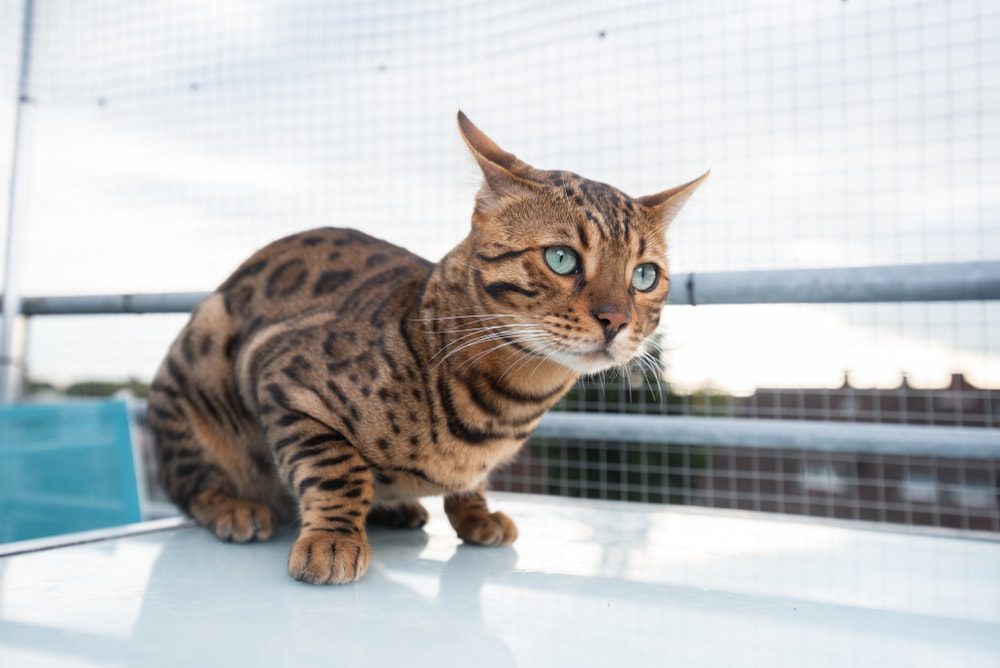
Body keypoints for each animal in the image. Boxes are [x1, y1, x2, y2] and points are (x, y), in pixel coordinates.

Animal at [148, 113, 708, 584]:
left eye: (644, 275)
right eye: (561, 258)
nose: (616, 319)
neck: (504, 407)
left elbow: (467, 487)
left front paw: (475, 515)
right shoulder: (281, 376)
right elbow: (336, 468)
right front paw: (333, 538)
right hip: (197, 361)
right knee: (190, 482)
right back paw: (234, 507)